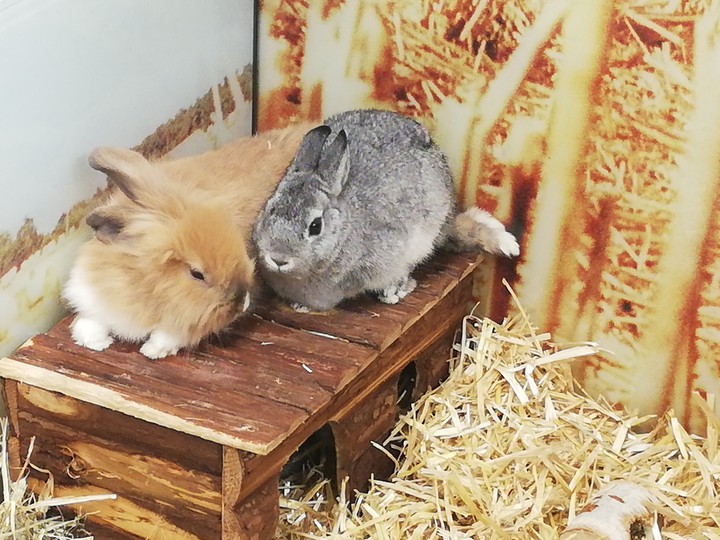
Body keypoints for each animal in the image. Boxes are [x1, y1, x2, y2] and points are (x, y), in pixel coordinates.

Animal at [64, 122, 314, 359]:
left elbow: (169, 335)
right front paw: (94, 342)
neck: (144, 285)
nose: (243, 302)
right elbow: (90, 321)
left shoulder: (188, 322)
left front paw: (152, 351)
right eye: (197, 274)